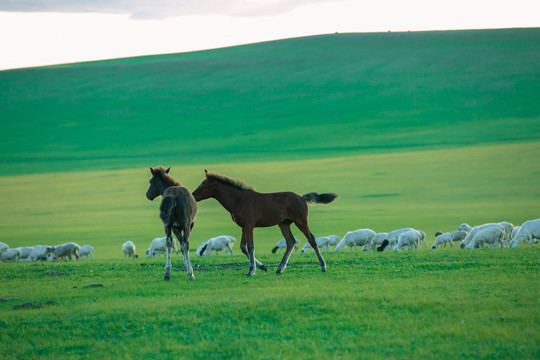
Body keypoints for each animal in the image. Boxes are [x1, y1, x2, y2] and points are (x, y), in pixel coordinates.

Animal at [191, 170, 338, 278]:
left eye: (202, 186)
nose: (192, 196)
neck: (238, 200)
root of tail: (302, 197)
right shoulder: (244, 227)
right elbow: (243, 247)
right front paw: (263, 266)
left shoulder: (249, 225)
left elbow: (250, 247)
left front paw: (251, 270)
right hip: (284, 224)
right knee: (290, 241)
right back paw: (279, 268)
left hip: (301, 221)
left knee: (311, 240)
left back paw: (323, 266)